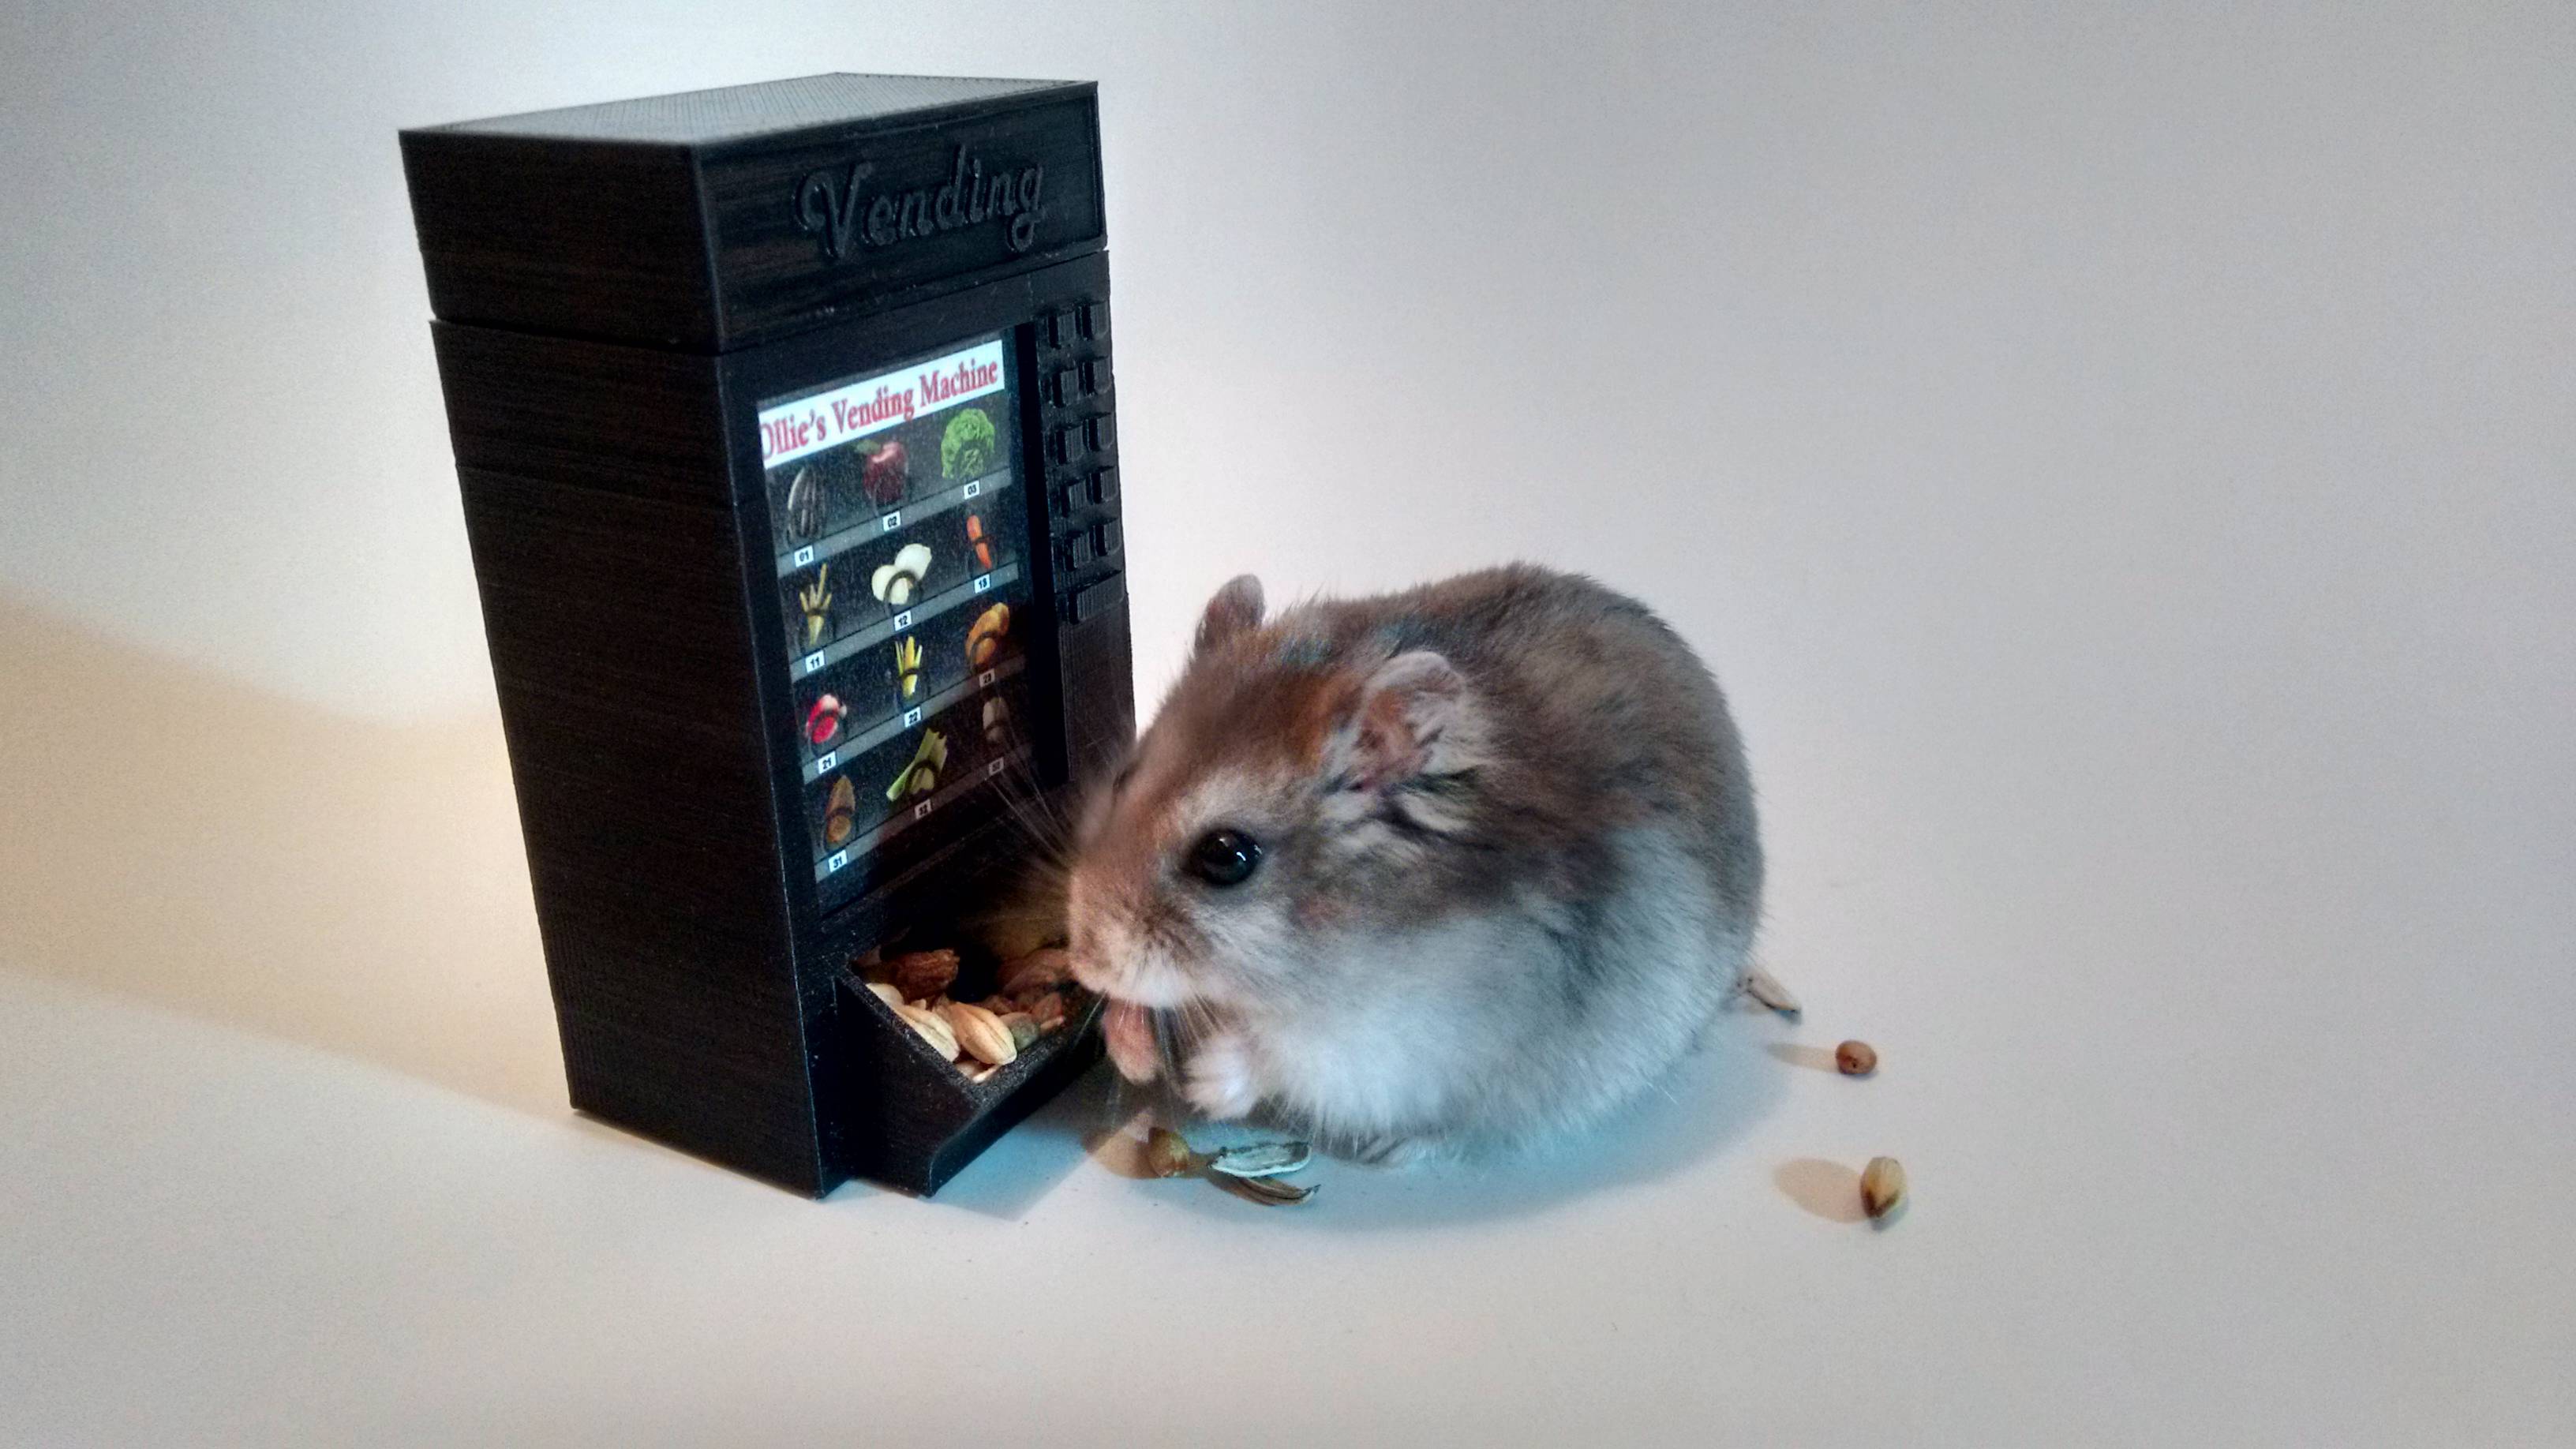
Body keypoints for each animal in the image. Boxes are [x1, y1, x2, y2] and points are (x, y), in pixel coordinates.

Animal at [1069, 564, 1763, 1164]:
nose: (1084, 963)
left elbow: (1288, 1055)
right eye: (1124, 779)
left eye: (1226, 856)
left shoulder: (1398, 1040)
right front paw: (1129, 1042)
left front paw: (1206, 1079)